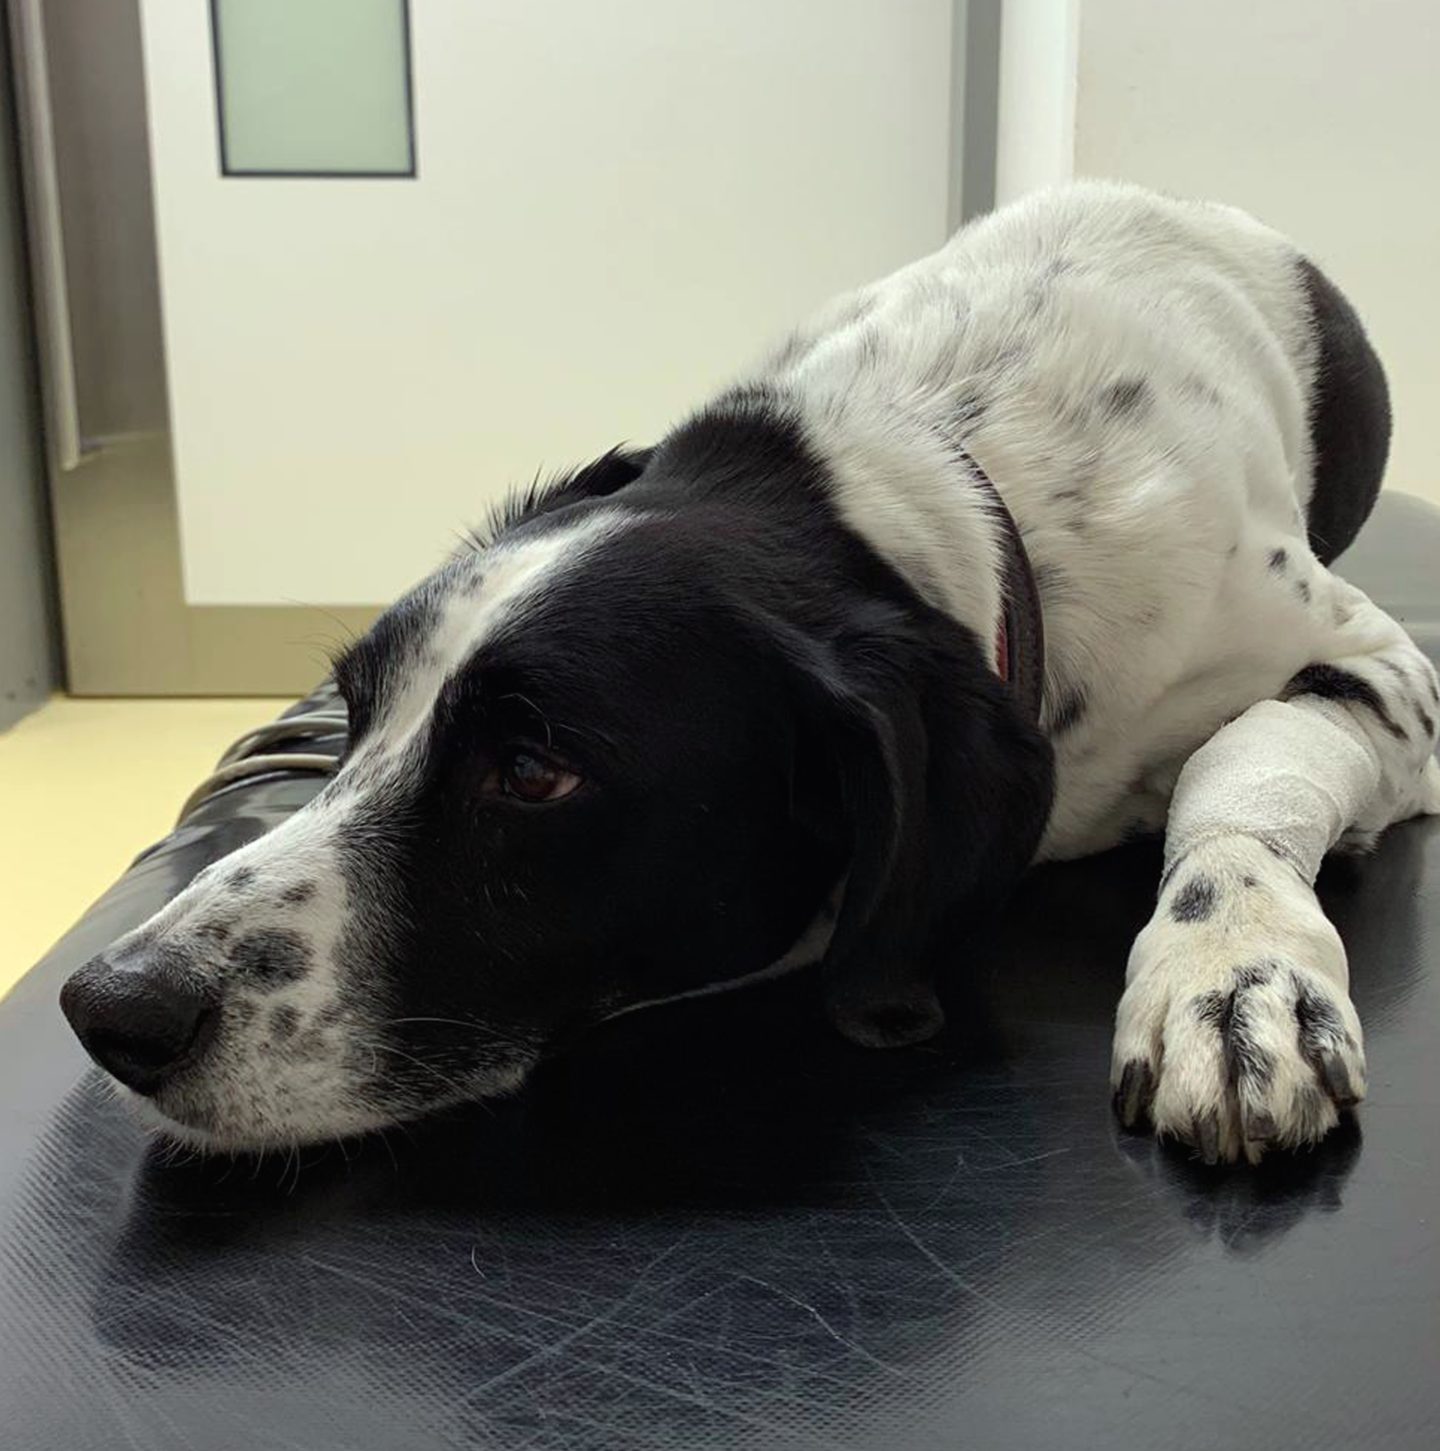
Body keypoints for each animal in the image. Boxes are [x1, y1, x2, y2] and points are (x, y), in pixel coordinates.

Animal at [61, 181, 1440, 1164]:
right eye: (350, 715)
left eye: (534, 770)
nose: (108, 1005)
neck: (922, 474)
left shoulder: (1381, 670)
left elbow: (1243, 759)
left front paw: (1234, 969)